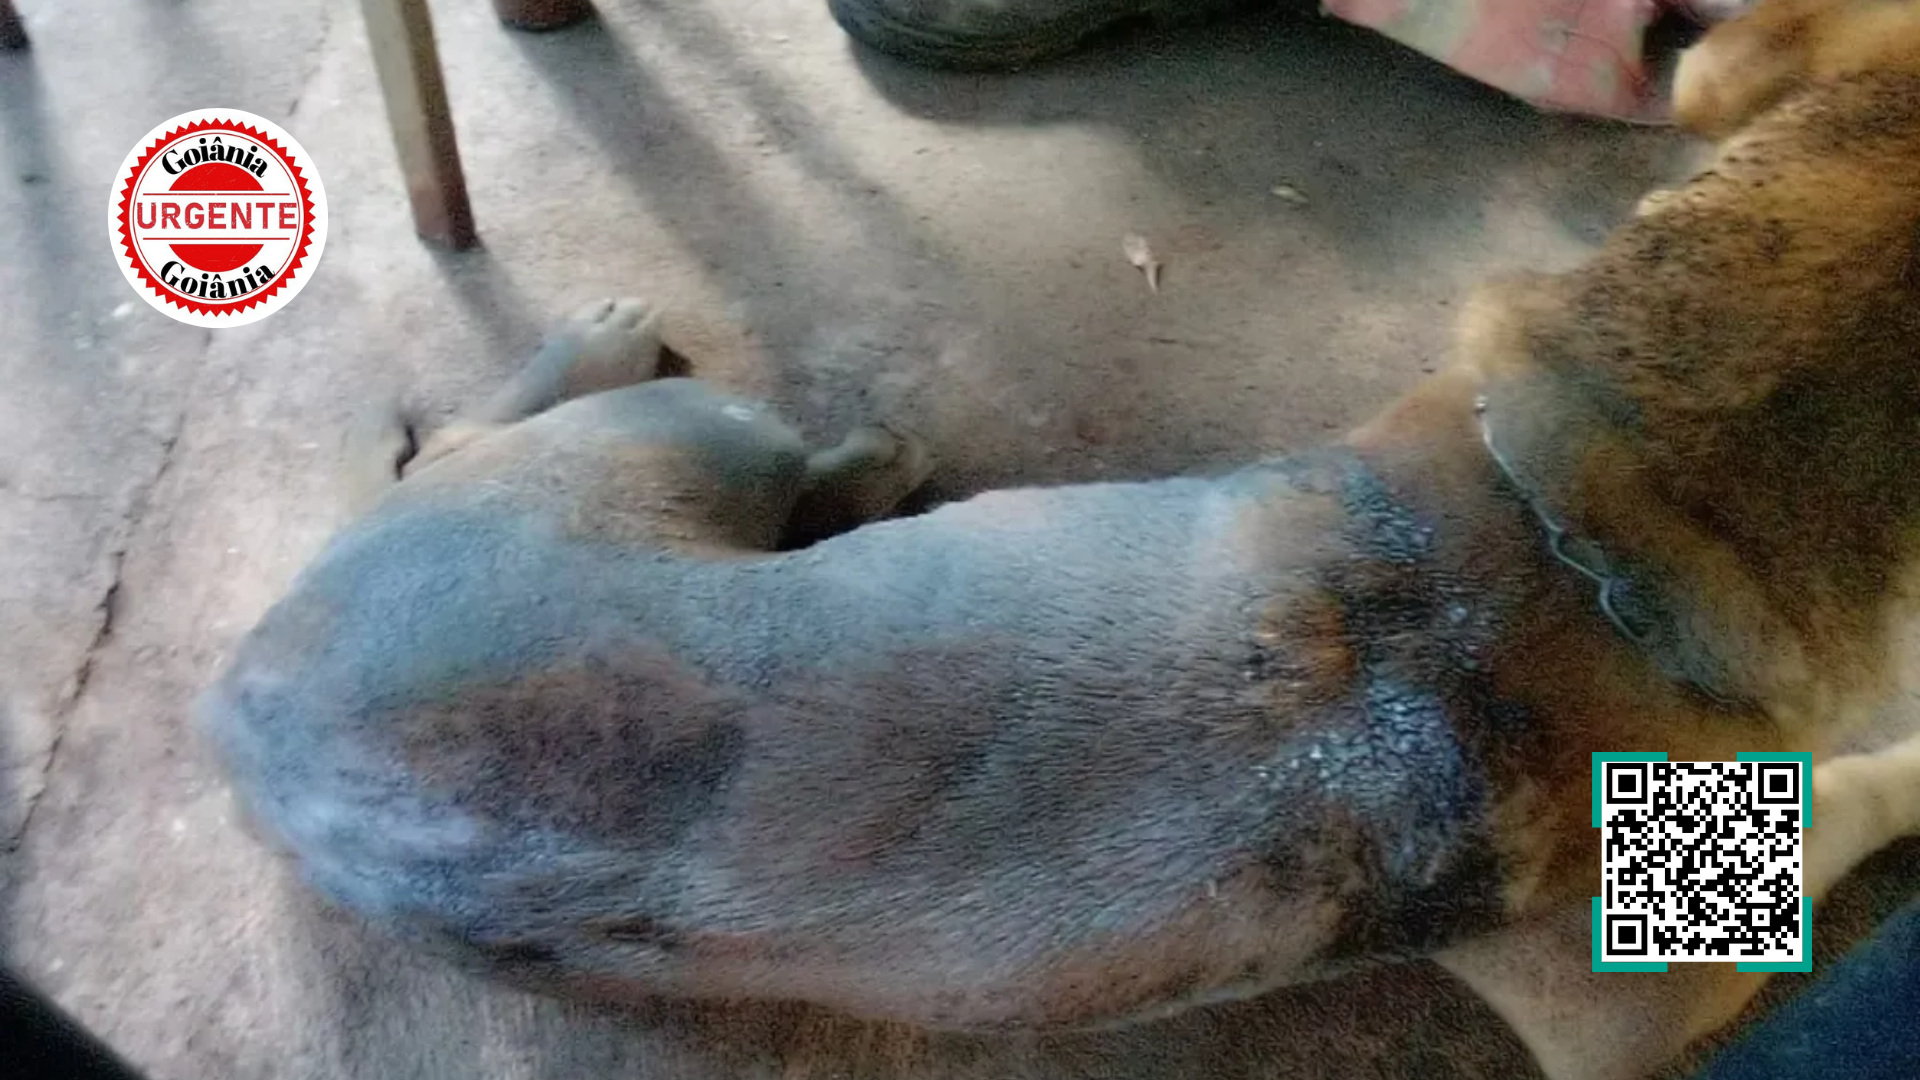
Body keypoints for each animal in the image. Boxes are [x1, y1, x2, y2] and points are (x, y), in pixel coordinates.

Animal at [197, 2, 1920, 1077]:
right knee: (534, 428)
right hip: (692, 430)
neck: (1598, 512)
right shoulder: (1642, 995)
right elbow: (1869, 794)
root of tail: (246, 710)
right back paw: (710, 382)